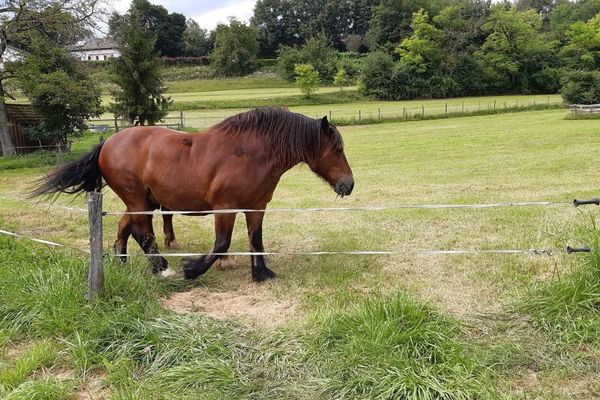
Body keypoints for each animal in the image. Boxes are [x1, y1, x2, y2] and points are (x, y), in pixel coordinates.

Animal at [32, 106, 354, 282]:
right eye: (337, 149)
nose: (348, 185)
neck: (251, 153)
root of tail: (108, 142)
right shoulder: (225, 207)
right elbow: (222, 244)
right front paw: (192, 269)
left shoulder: (256, 207)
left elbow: (256, 241)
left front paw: (262, 274)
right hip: (138, 200)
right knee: (142, 233)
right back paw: (163, 269)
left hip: (140, 201)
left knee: (125, 229)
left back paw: (121, 264)